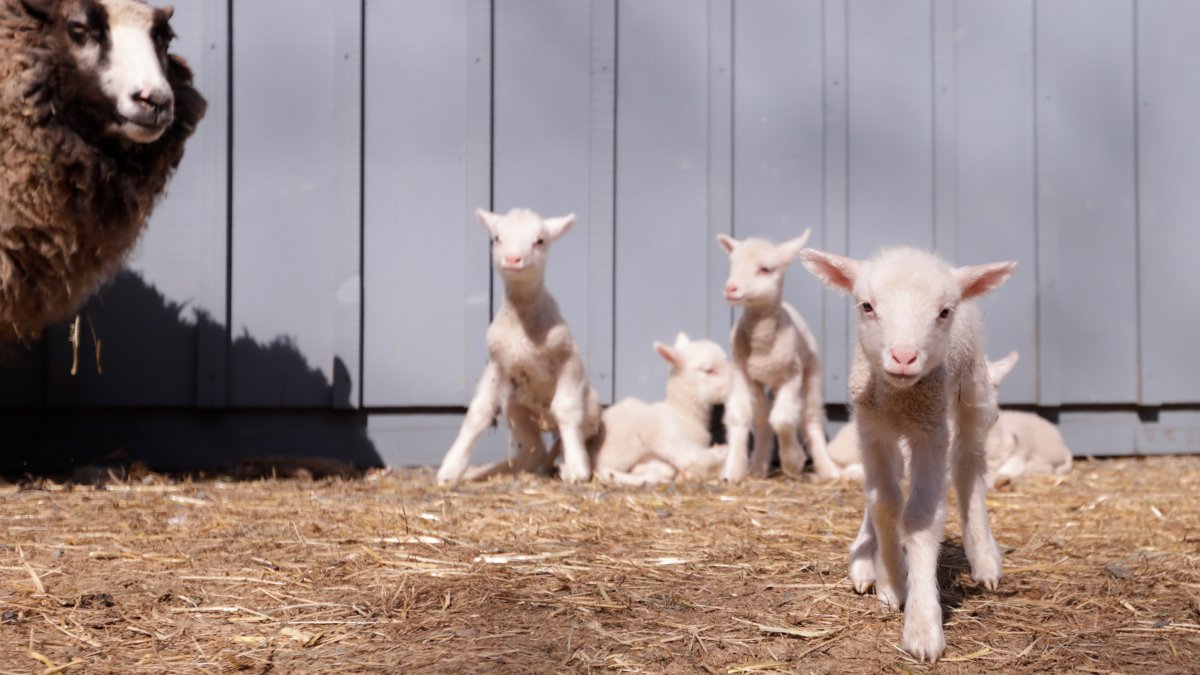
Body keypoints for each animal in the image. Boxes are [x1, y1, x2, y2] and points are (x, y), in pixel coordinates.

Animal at [437, 208, 602, 486]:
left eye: (540, 240)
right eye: (497, 237)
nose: (513, 259)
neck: (522, 327)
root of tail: (546, 422)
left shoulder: (567, 358)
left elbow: (566, 409)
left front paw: (577, 470)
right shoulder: (497, 362)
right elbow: (478, 413)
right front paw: (450, 469)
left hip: (590, 413)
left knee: (563, 436)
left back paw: (567, 462)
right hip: (515, 409)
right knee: (534, 452)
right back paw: (486, 471)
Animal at [716, 229, 837, 482]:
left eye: (765, 269)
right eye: (733, 264)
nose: (731, 288)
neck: (762, 347)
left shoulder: (792, 374)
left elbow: (782, 418)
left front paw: (793, 461)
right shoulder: (741, 372)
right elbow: (741, 416)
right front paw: (732, 470)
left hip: (812, 370)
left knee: (810, 416)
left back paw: (828, 469)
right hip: (759, 382)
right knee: (762, 419)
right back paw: (758, 467)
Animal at [800, 245, 1015, 662]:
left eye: (944, 311)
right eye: (867, 306)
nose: (903, 357)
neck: (900, 398)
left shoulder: (930, 433)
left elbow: (919, 517)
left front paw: (922, 626)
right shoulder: (872, 429)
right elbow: (884, 503)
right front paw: (891, 582)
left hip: (972, 394)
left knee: (968, 466)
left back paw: (984, 560)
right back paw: (866, 558)